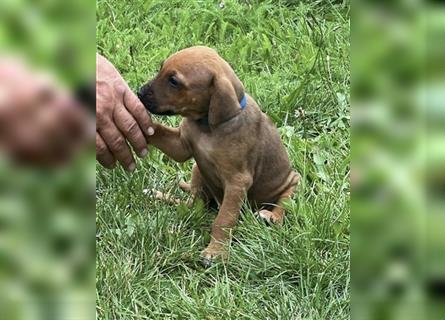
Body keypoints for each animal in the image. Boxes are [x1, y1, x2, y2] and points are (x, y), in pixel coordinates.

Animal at [137, 45, 300, 264]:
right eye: (161, 68)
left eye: (174, 81)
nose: (139, 92)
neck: (206, 126)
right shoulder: (181, 146)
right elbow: (159, 131)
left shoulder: (237, 183)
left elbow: (224, 219)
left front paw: (216, 251)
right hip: (197, 171)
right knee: (191, 204)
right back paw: (157, 194)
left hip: (292, 184)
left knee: (283, 205)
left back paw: (270, 216)